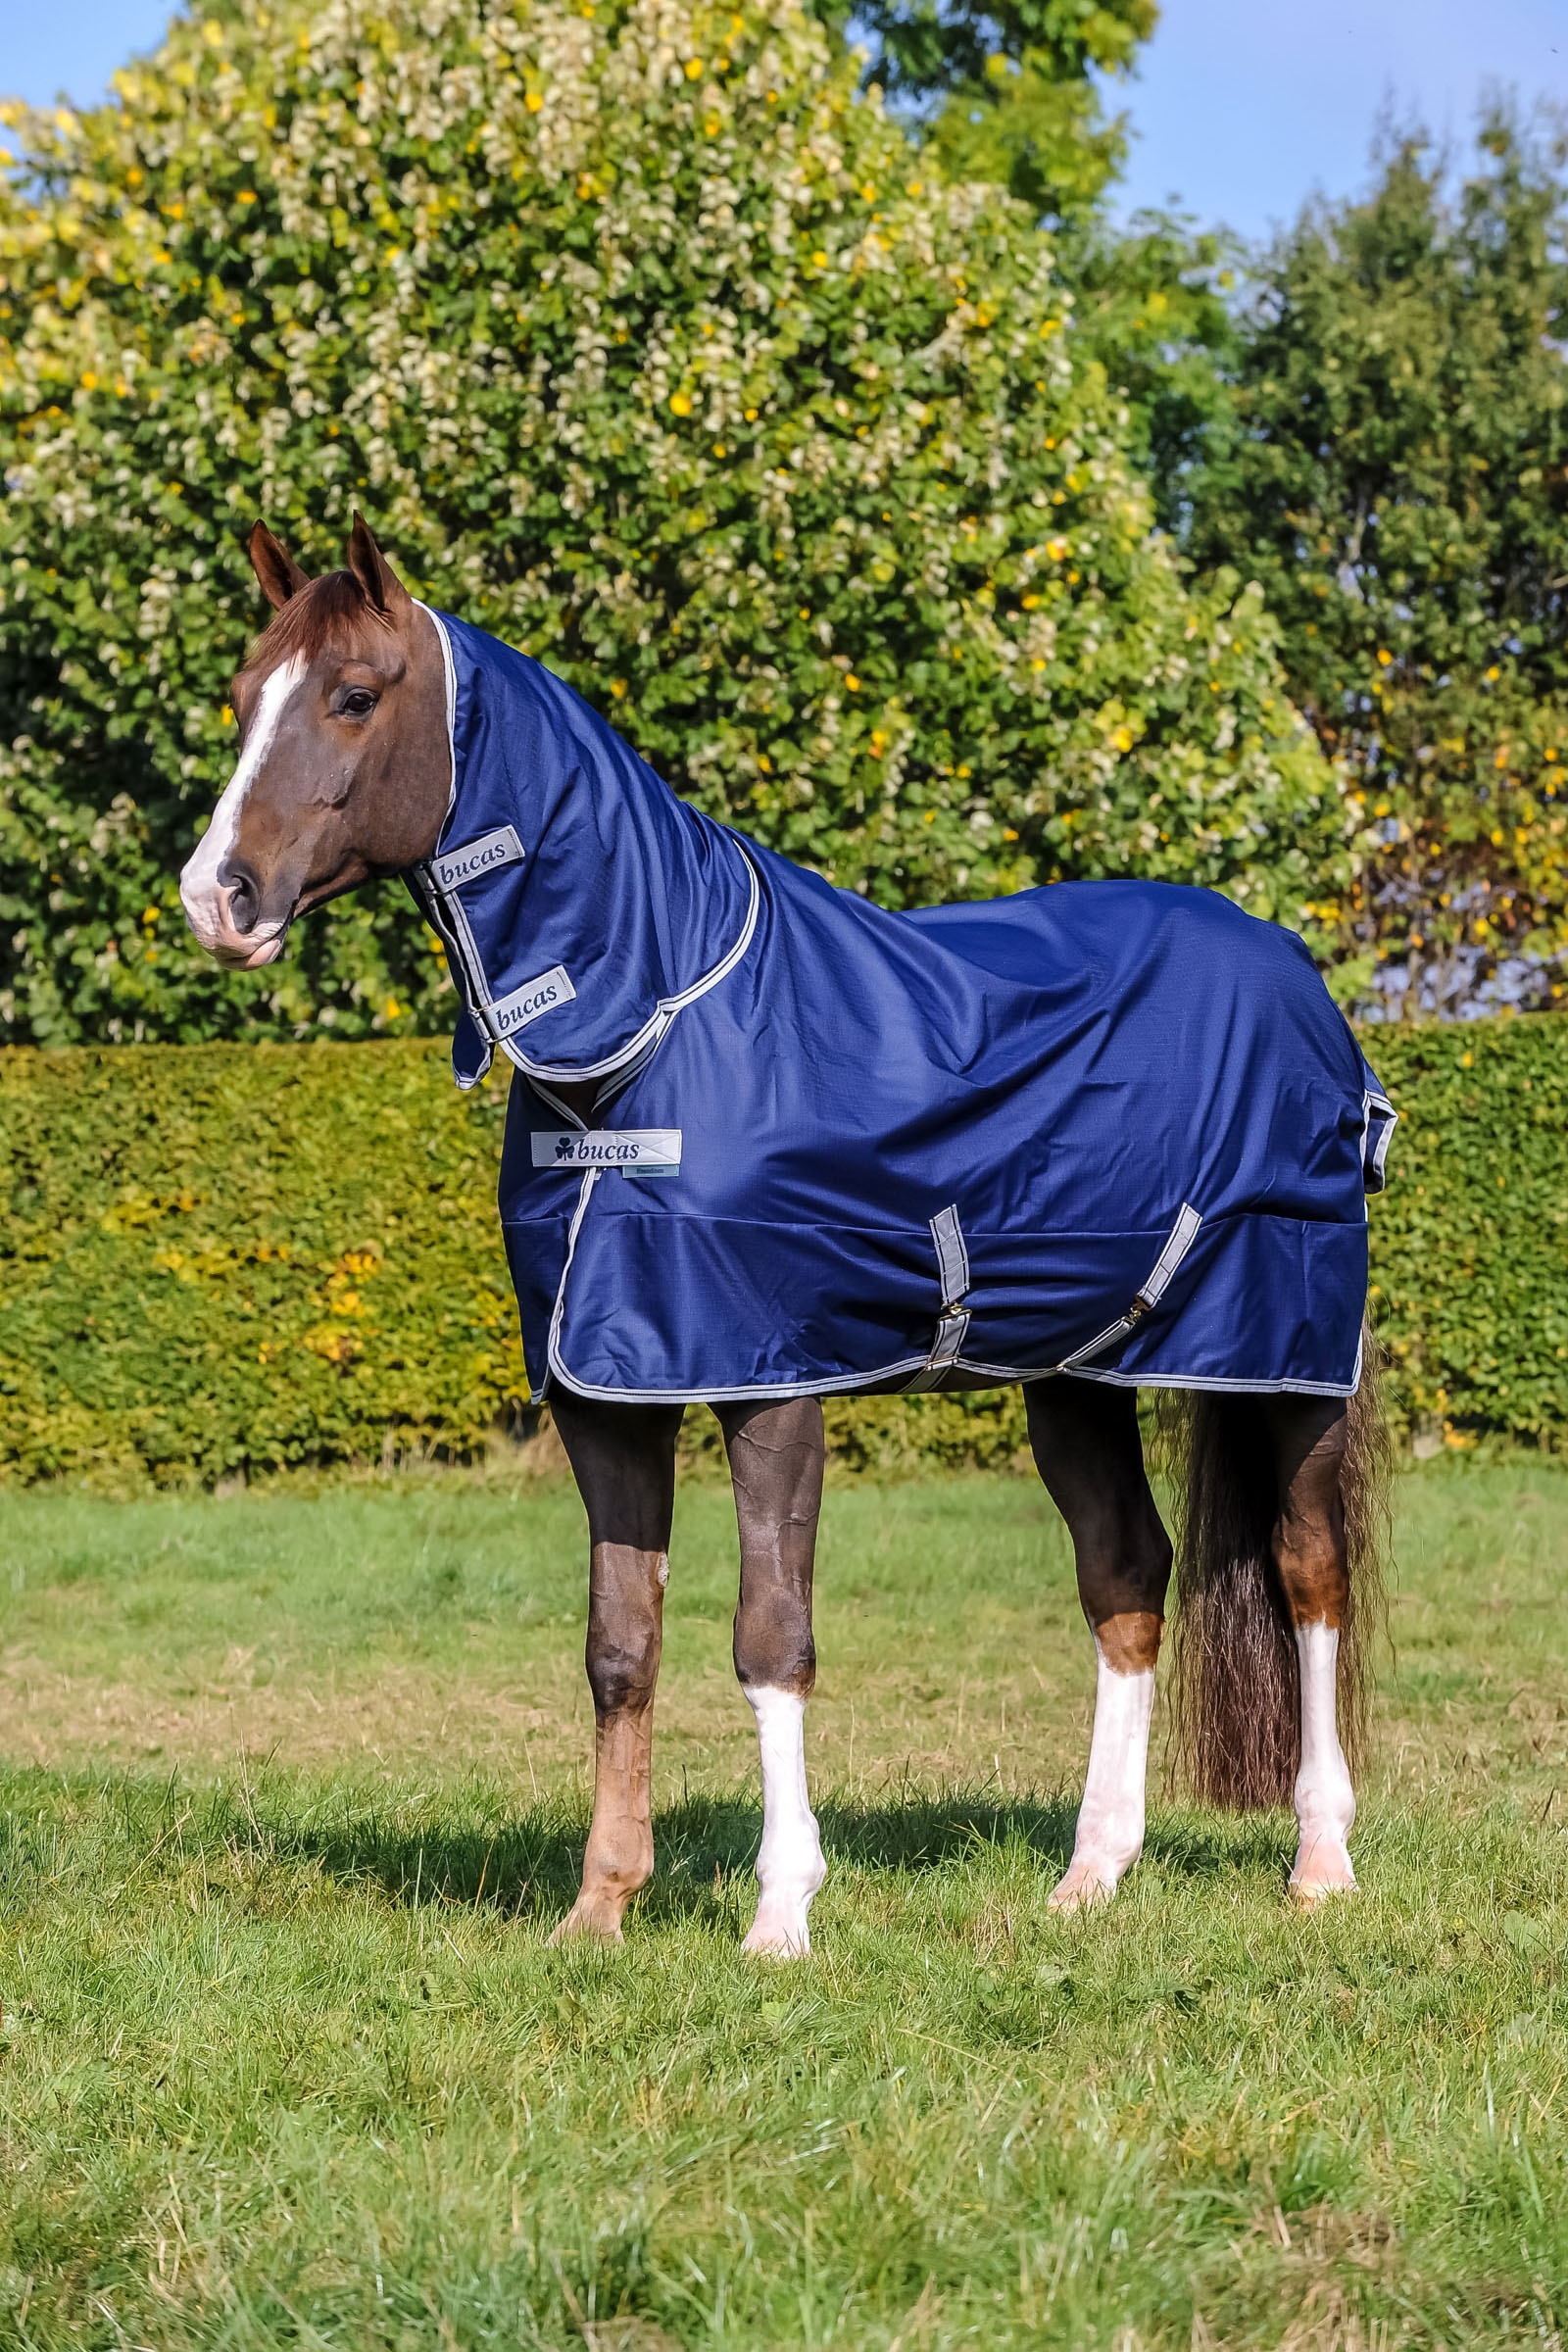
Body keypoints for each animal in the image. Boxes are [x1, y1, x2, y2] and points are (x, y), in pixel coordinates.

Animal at [179, 514, 1393, 1953]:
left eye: (356, 696)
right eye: (242, 696)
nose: (217, 897)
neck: (654, 1022)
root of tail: (1296, 975)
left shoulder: (769, 1384)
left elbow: (769, 1637)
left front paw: (779, 1913)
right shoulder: (608, 1393)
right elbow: (619, 1645)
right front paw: (599, 1907)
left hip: (1286, 1362)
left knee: (1308, 1576)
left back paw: (1320, 1861)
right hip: (1074, 1376)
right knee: (1126, 1575)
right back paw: (1089, 1873)